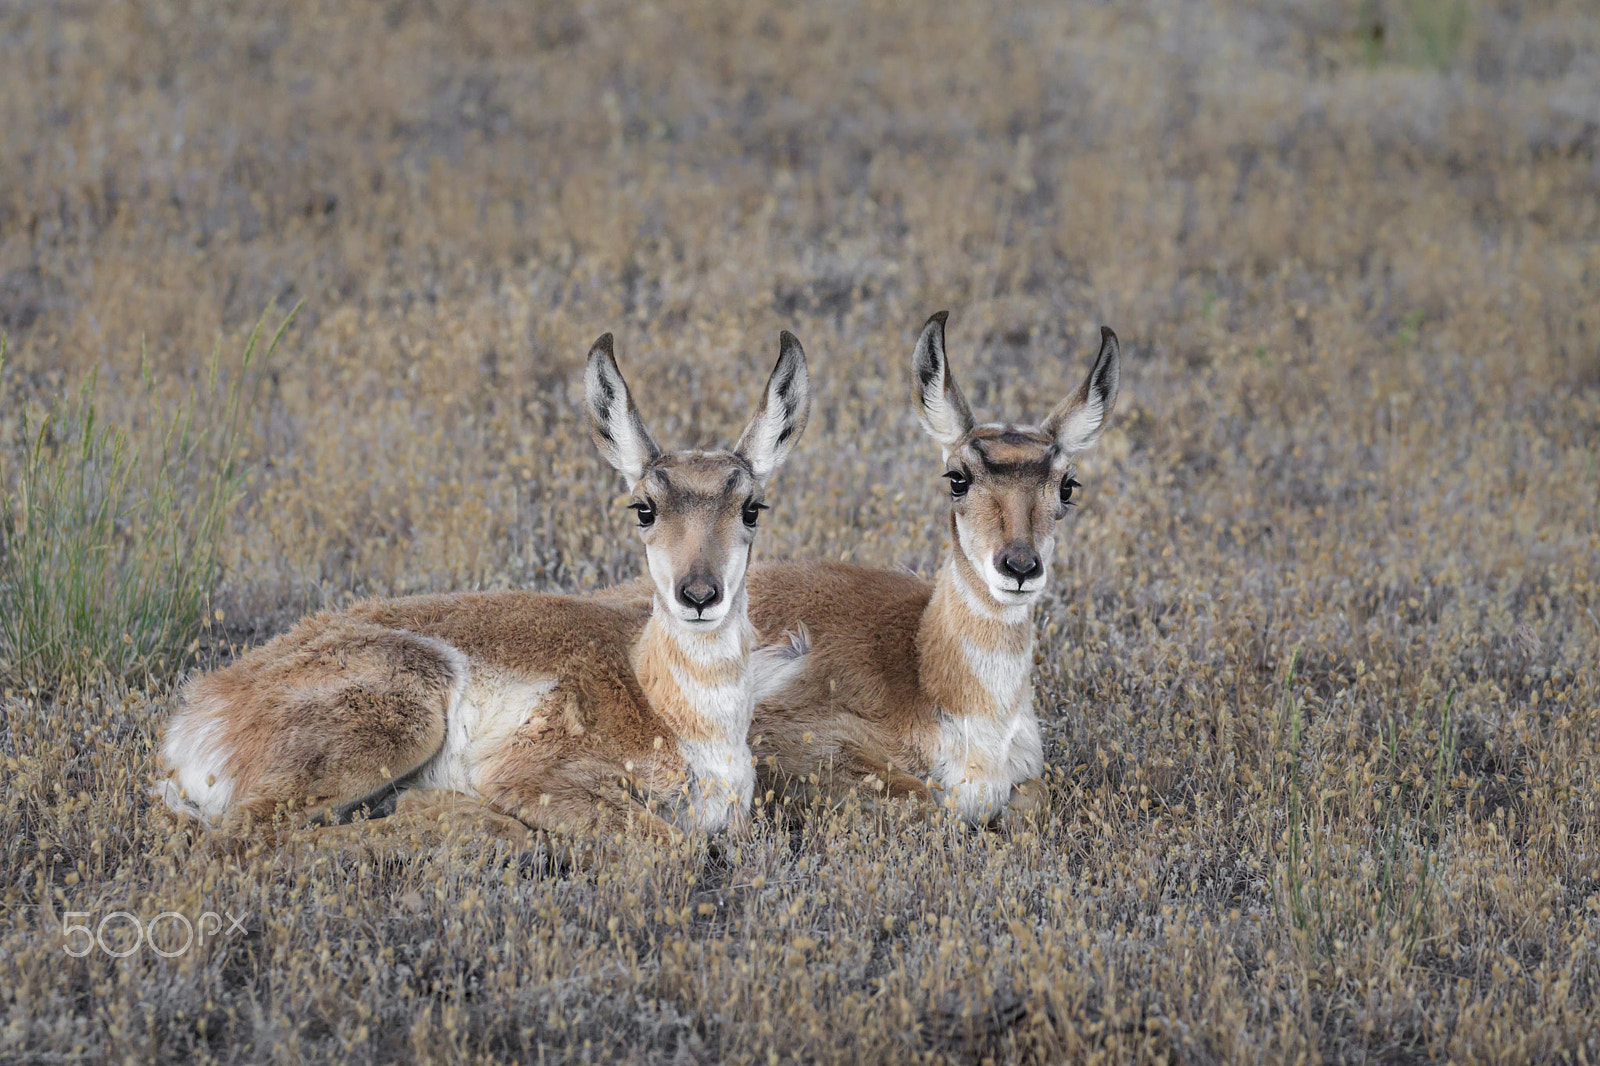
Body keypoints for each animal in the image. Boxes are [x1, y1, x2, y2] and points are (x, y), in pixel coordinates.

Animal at [156, 331, 812, 849]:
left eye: (752, 508)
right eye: (643, 508)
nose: (698, 595)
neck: (665, 701)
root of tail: (205, 705)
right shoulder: (531, 777)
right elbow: (675, 845)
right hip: (405, 714)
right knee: (246, 839)